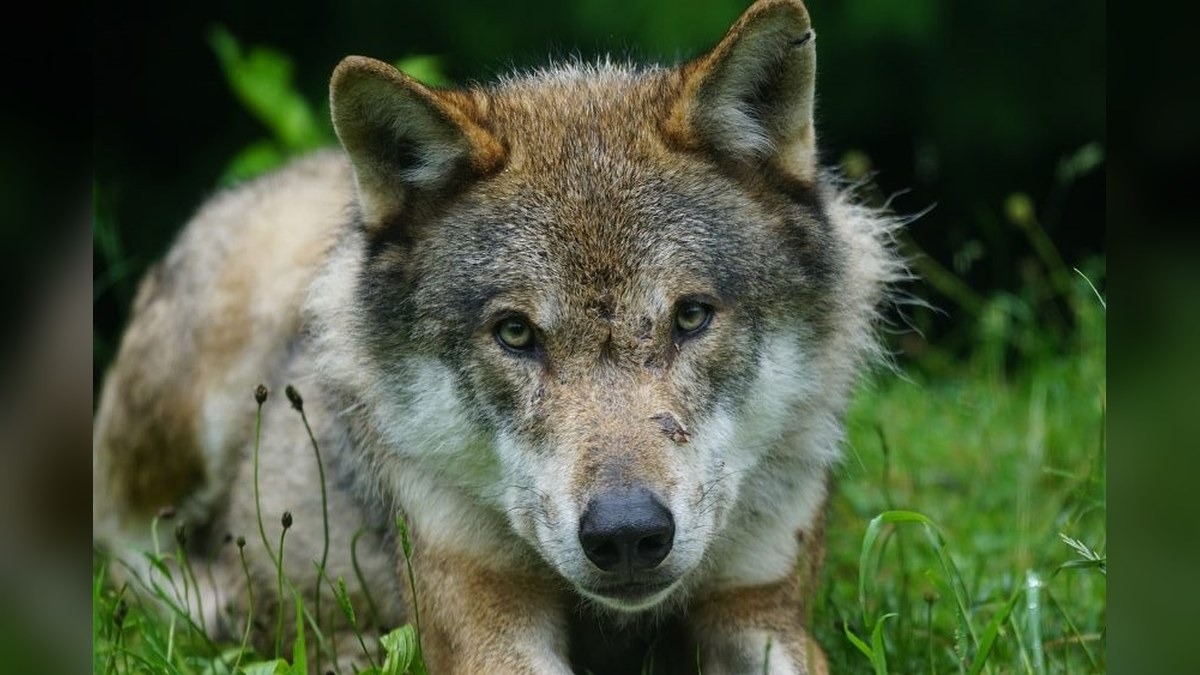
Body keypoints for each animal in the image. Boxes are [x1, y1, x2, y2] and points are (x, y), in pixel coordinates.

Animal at [93, 0, 901, 672]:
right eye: (515, 332)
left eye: (691, 316)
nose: (627, 533)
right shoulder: (480, 608)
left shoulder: (763, 607)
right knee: (129, 558)